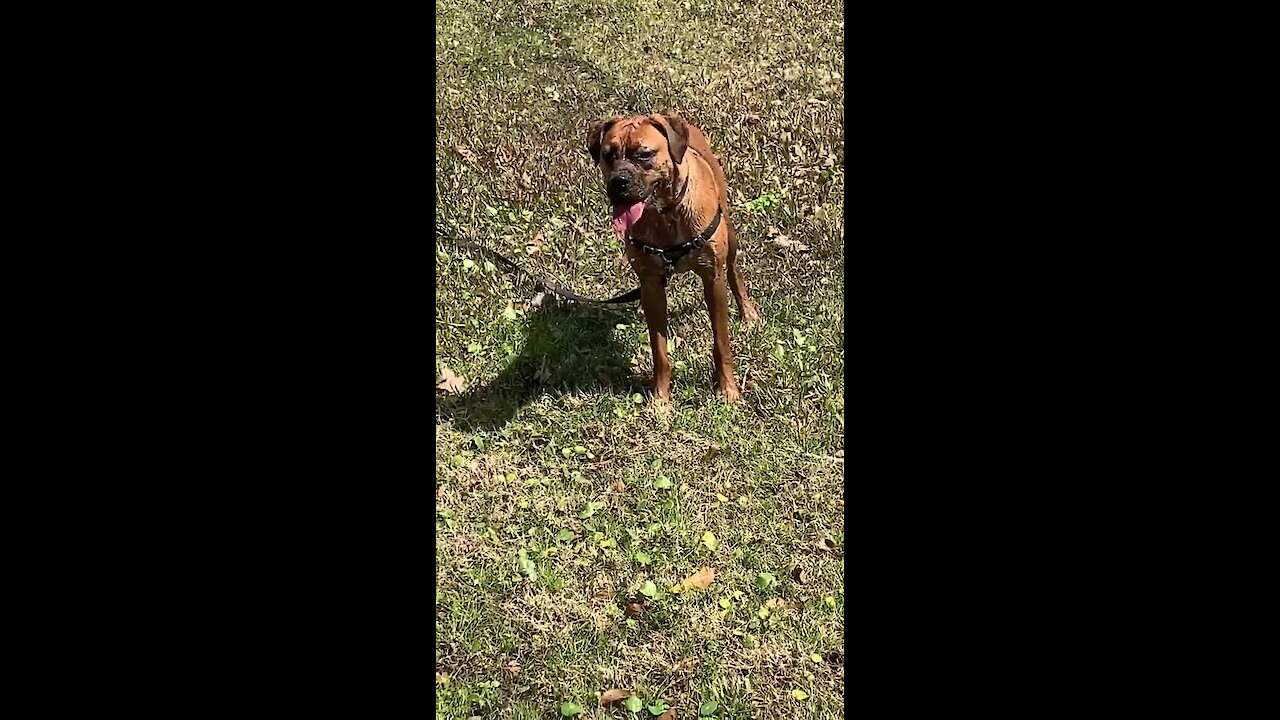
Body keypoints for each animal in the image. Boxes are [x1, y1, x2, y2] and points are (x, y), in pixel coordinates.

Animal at [588, 114, 757, 399]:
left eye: (644, 154)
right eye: (607, 155)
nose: (618, 182)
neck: (665, 215)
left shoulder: (713, 279)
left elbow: (721, 341)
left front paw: (727, 389)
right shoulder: (651, 287)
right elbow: (659, 350)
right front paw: (661, 397)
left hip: (730, 237)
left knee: (735, 271)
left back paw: (748, 312)